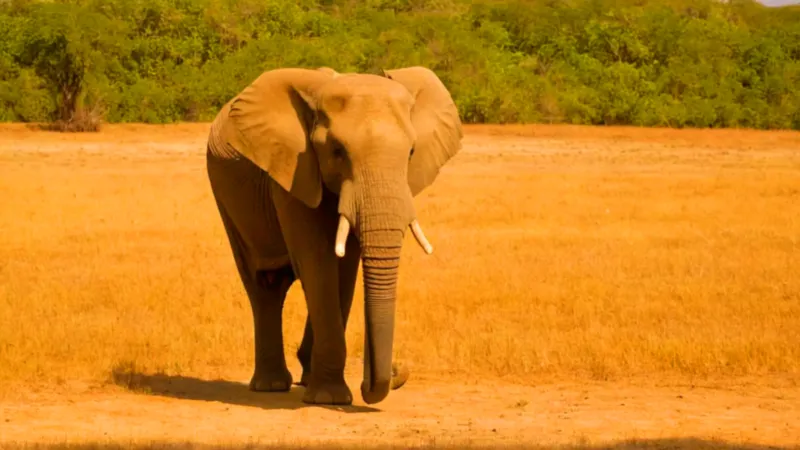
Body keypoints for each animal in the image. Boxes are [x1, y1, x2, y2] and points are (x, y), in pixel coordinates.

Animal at [205, 65, 463, 406]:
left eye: (410, 153)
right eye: (337, 152)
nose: (397, 372)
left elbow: (345, 269)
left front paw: (324, 390)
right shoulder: (294, 169)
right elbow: (317, 261)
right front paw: (330, 398)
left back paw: (303, 376)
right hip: (225, 195)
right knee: (264, 285)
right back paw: (271, 385)